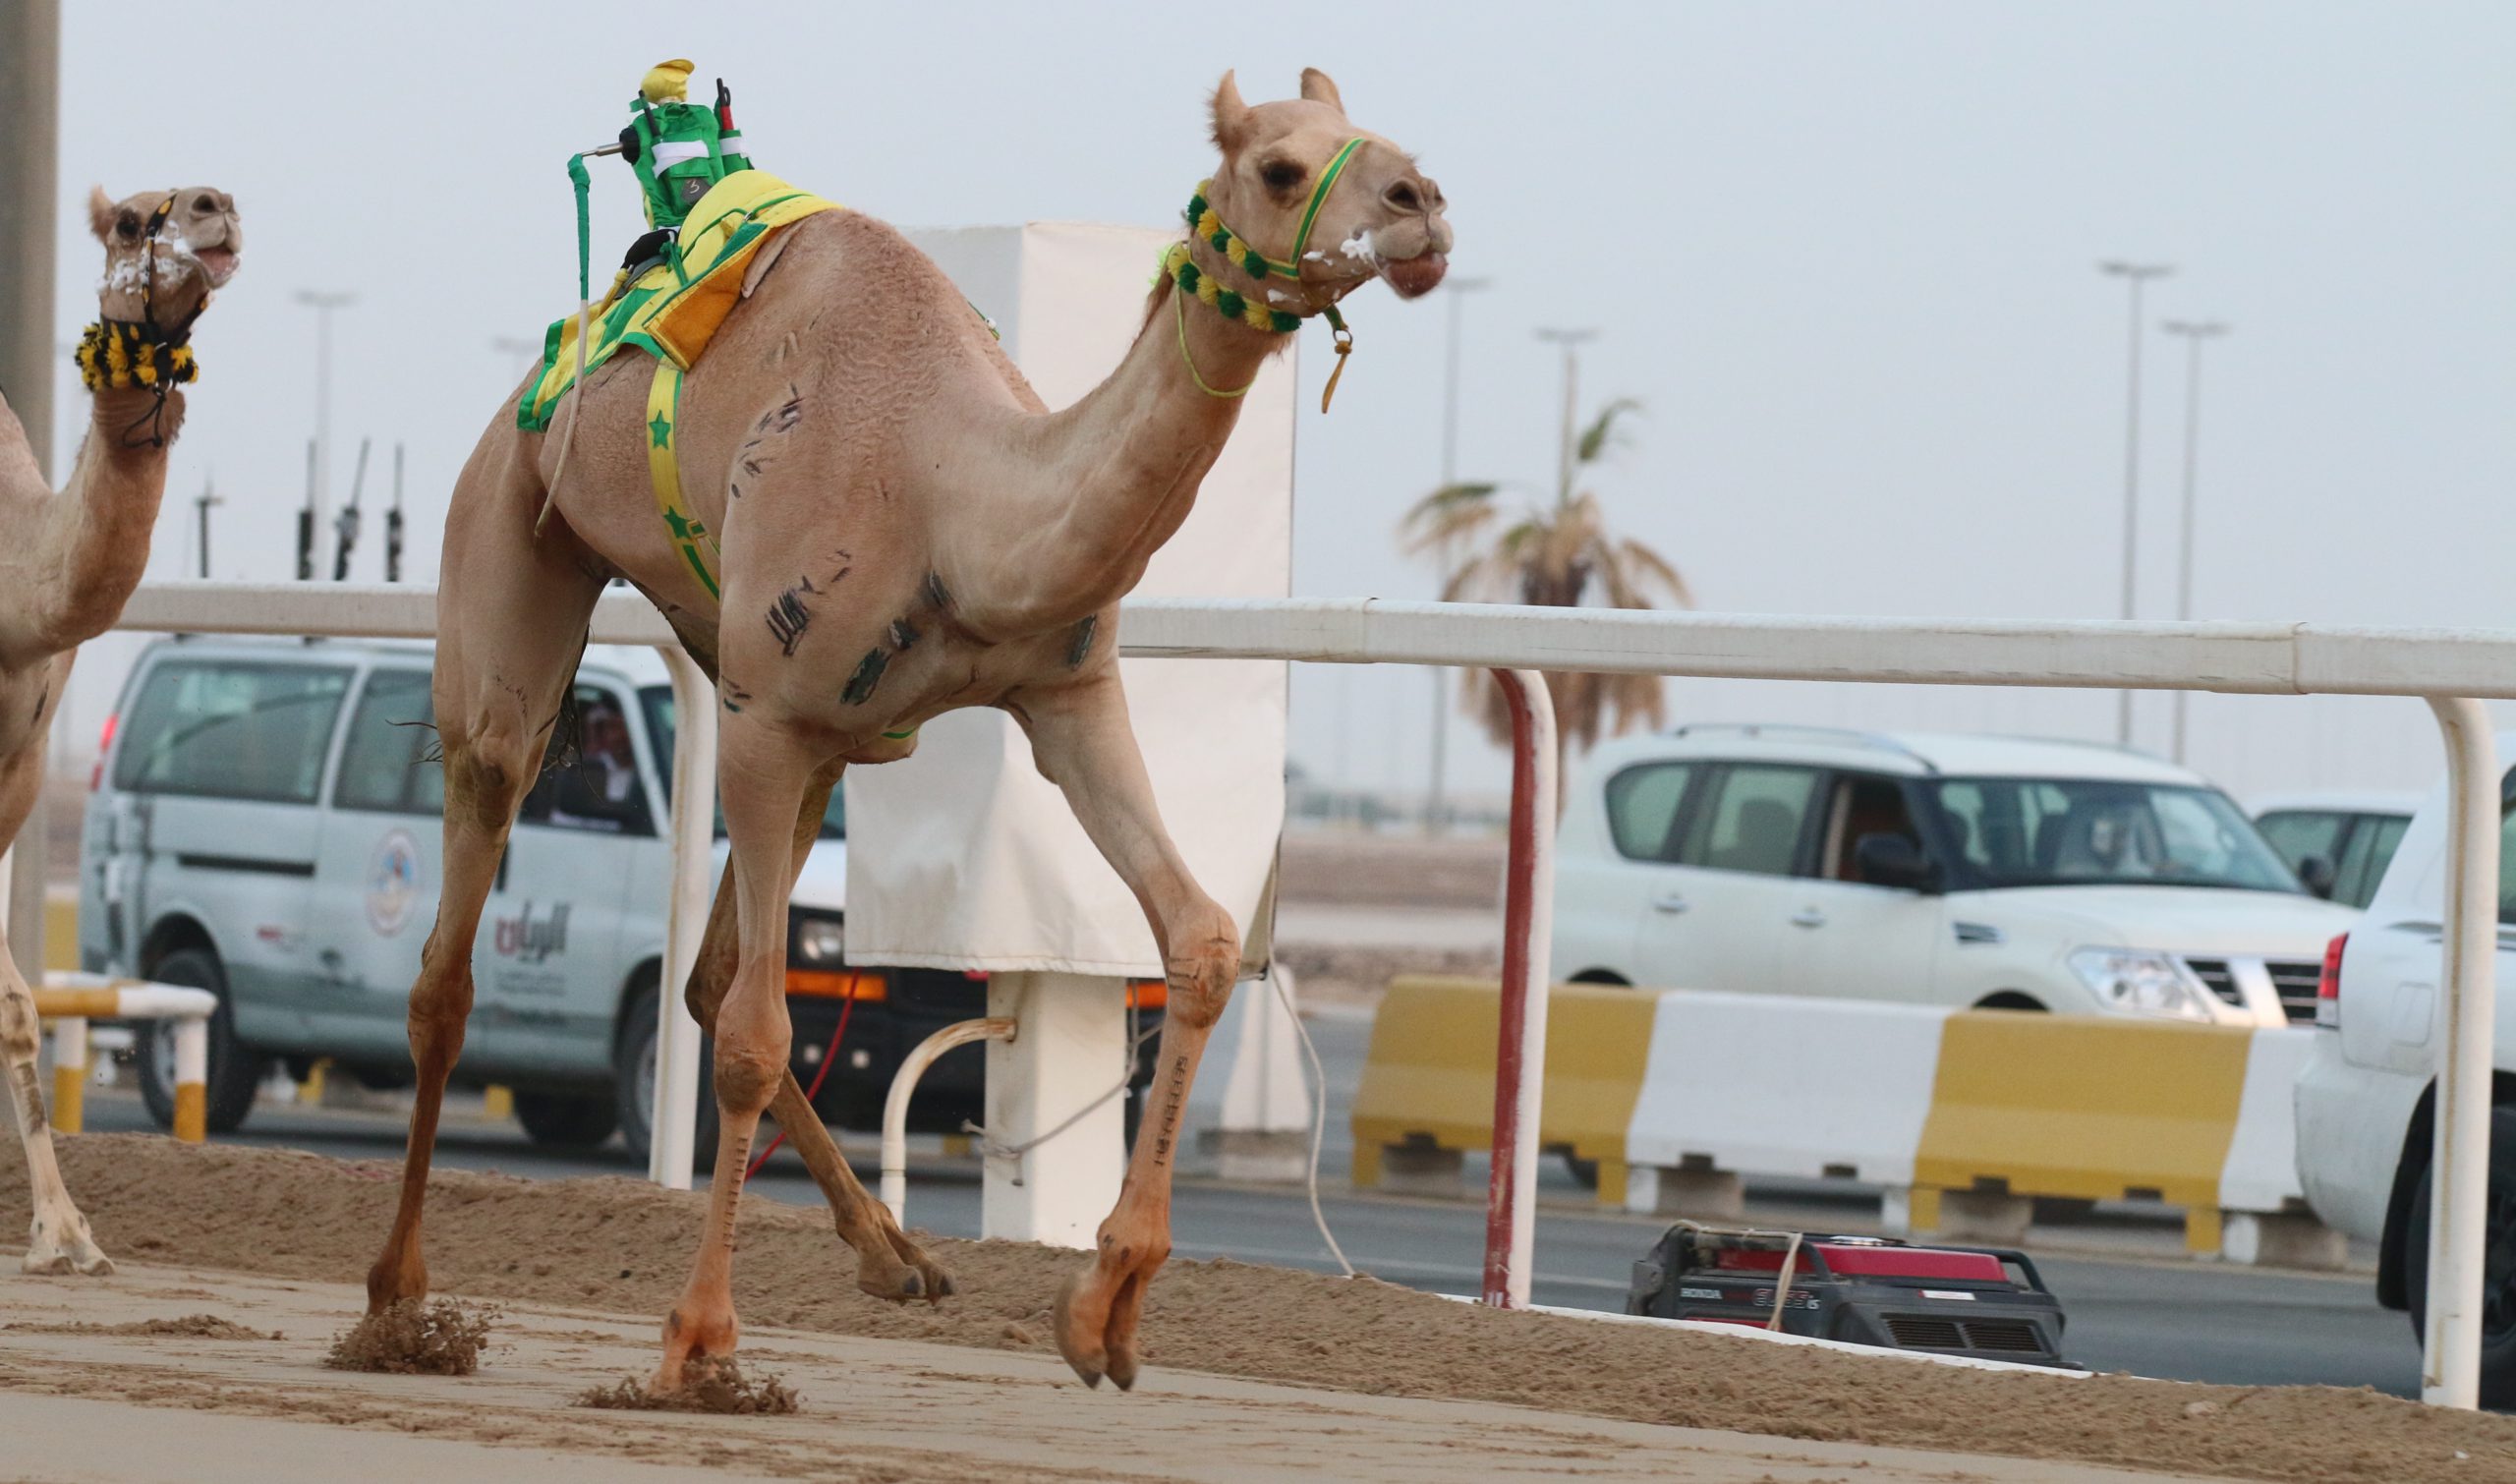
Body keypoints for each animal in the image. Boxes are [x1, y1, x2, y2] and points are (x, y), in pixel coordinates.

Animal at [362, 70, 1449, 1398]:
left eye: (1392, 143)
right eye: (1282, 168)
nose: (1420, 209)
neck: (954, 497)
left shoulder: (1065, 695)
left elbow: (1197, 939)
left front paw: (1106, 1308)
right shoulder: (766, 714)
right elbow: (754, 1035)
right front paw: (698, 1343)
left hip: (812, 731)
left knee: (706, 973)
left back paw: (896, 1255)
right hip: (519, 547)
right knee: (458, 945)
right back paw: (397, 1305)